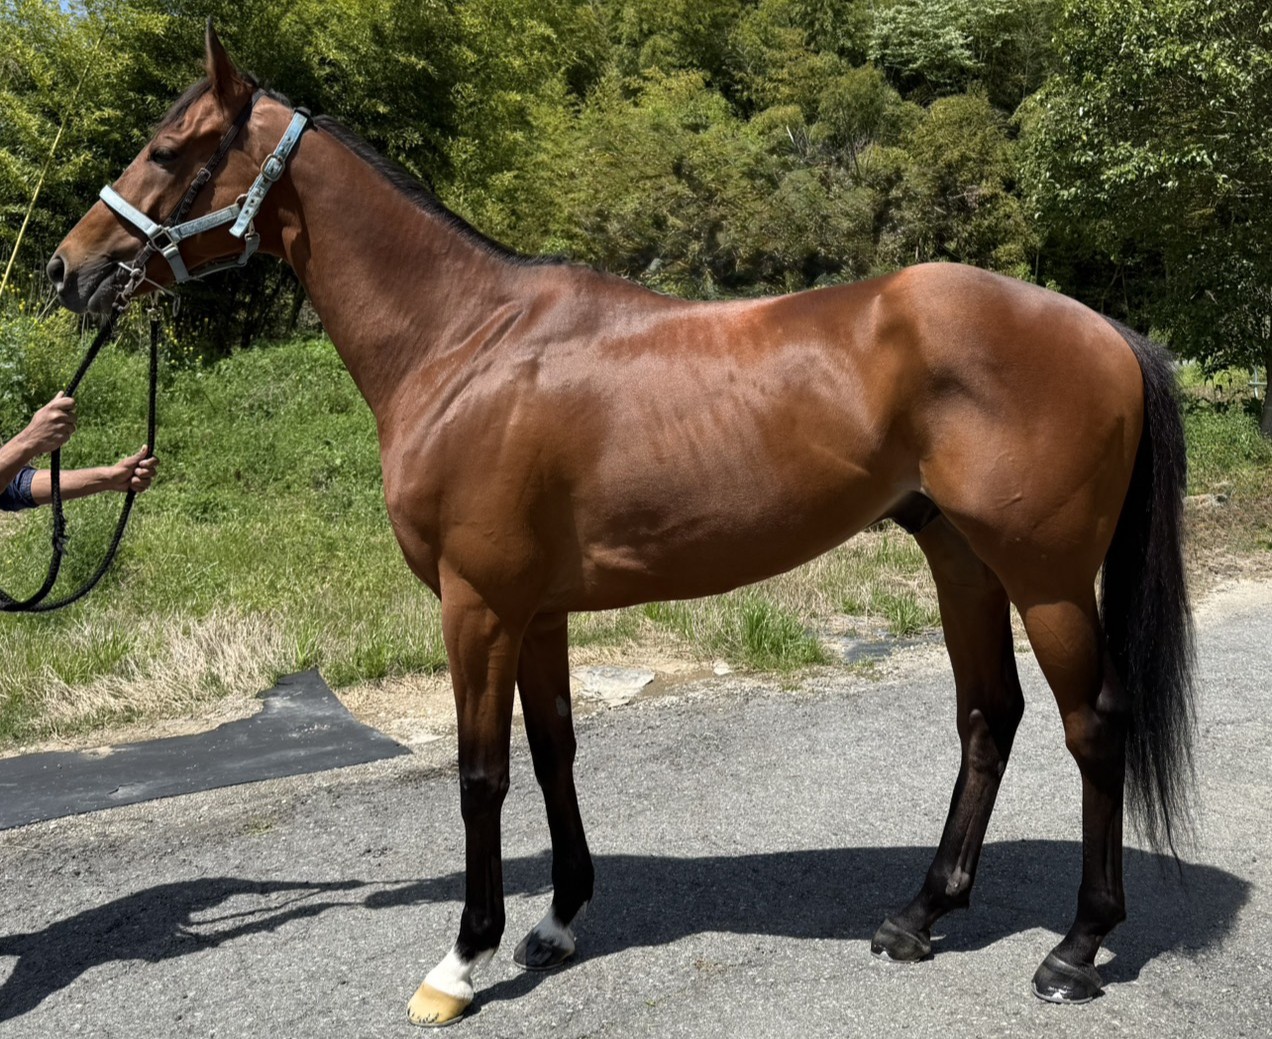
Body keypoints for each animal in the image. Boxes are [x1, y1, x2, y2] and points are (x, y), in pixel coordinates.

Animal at [48, 25, 1194, 1027]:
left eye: (168, 149)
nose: (66, 269)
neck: (465, 342)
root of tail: (1103, 328)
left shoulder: (477, 605)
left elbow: (481, 774)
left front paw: (459, 961)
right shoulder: (538, 608)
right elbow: (555, 748)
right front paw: (557, 922)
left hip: (1046, 577)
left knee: (1092, 726)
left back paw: (1077, 949)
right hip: (961, 557)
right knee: (988, 716)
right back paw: (920, 914)